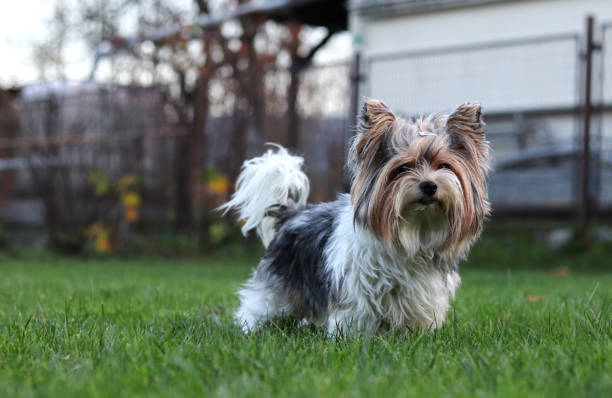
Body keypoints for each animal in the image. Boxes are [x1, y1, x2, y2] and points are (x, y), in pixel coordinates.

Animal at [220, 98, 488, 332]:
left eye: (444, 166)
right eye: (403, 168)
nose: (429, 186)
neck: (414, 230)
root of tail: (293, 214)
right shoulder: (356, 290)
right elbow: (355, 316)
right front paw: (354, 338)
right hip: (277, 285)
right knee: (258, 306)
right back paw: (251, 328)